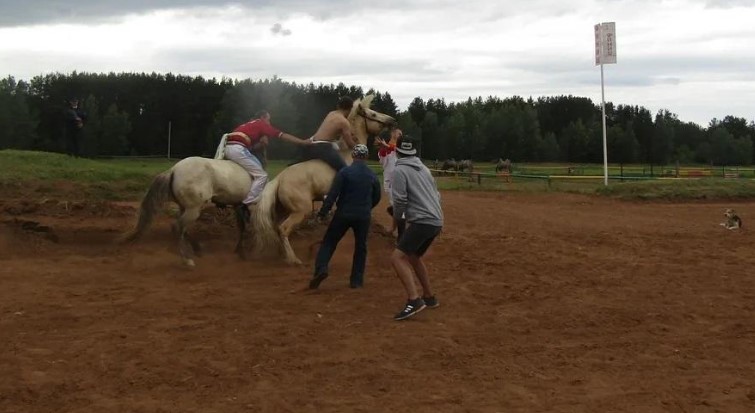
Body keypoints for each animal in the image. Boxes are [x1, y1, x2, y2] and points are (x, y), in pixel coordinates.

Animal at [252, 95, 398, 264]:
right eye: (373, 114)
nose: (392, 120)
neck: (350, 153)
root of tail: (279, 178)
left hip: (284, 209)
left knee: (277, 228)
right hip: (301, 210)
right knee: (283, 229)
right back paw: (293, 259)